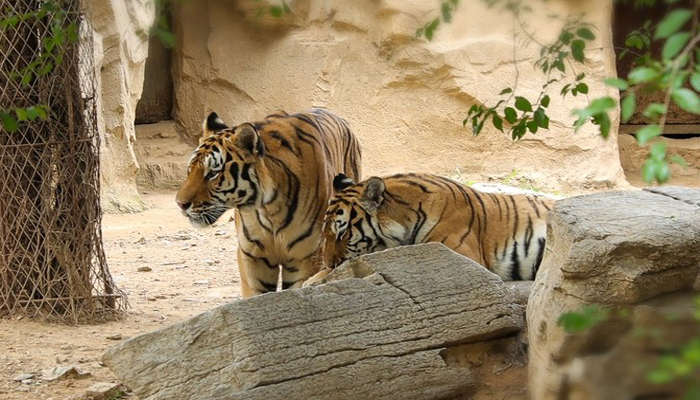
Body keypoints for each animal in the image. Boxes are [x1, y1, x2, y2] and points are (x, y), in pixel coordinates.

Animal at [175, 109, 362, 298]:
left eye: (213, 174)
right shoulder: (252, 257)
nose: (180, 203)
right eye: (190, 170)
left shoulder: (306, 256)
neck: (269, 208)